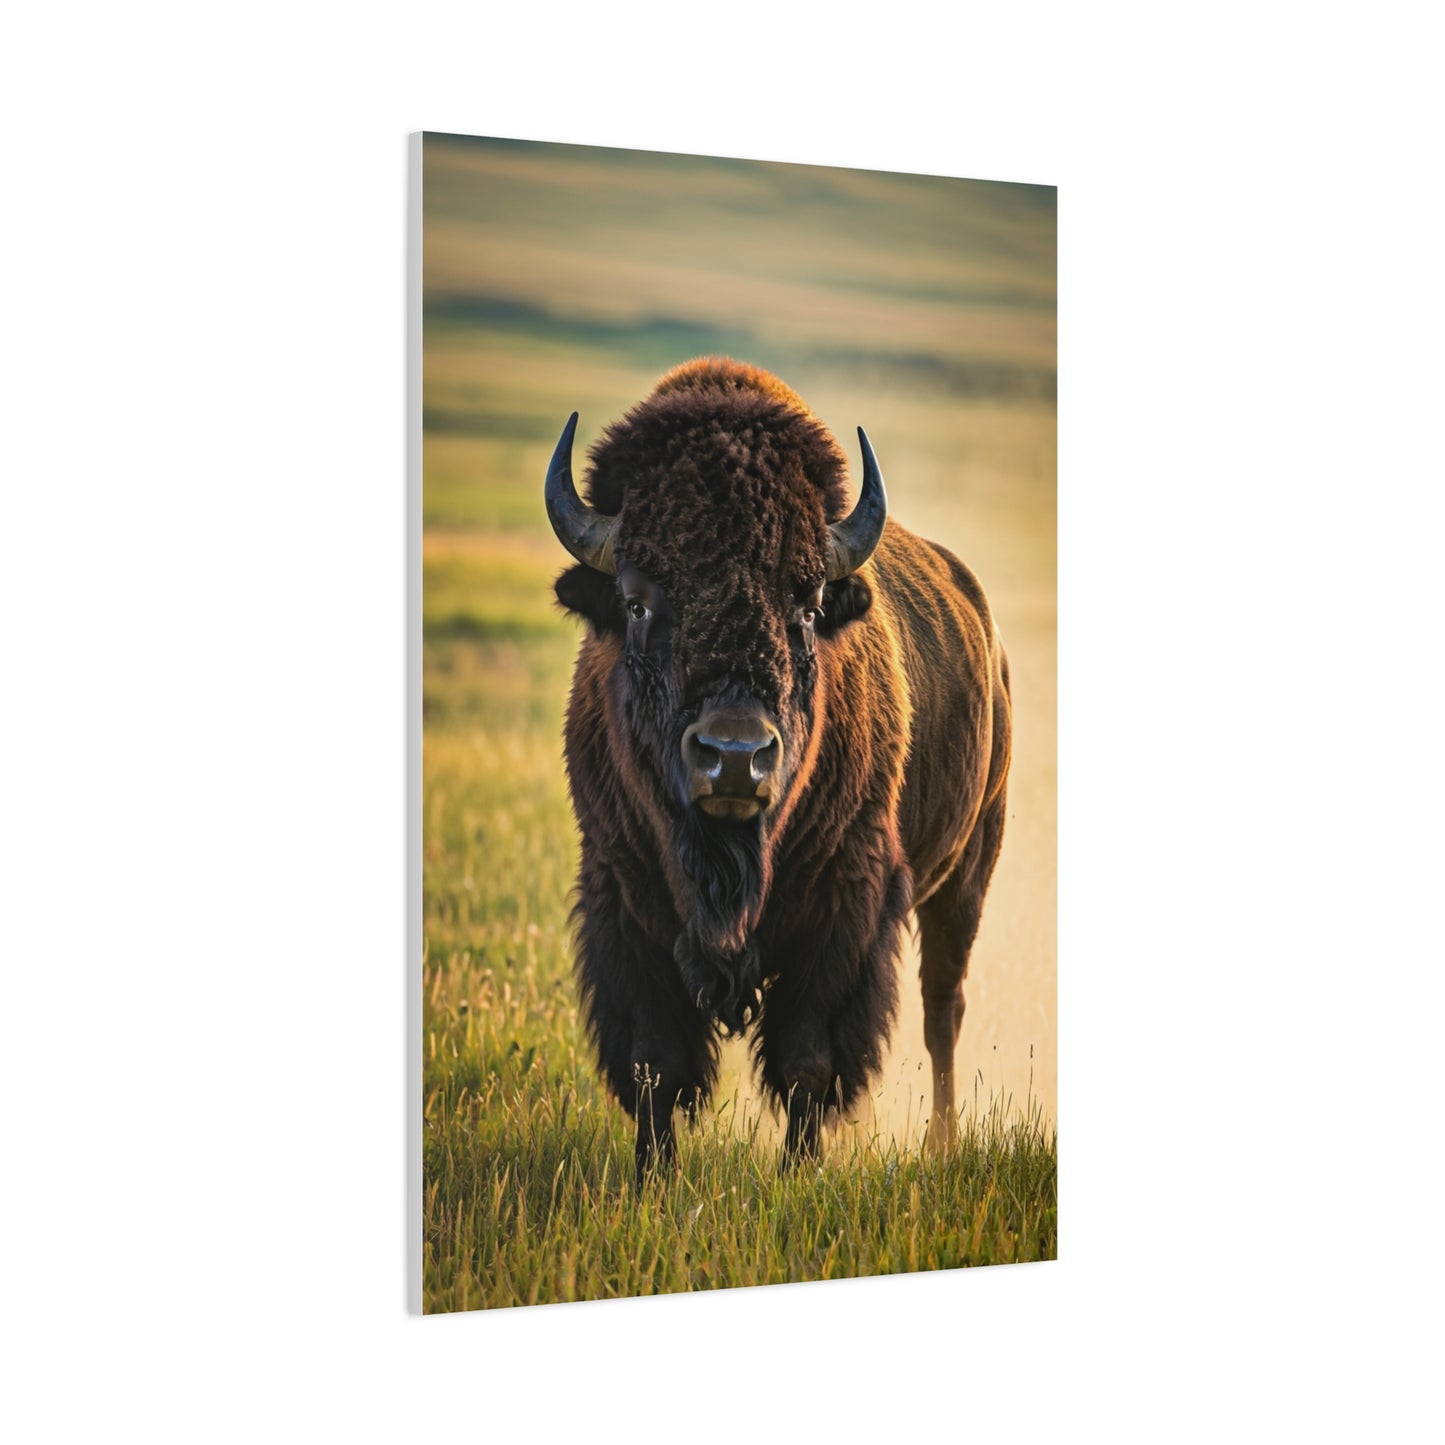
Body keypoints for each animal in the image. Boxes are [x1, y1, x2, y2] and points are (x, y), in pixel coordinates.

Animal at [546, 358, 1011, 1180]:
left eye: (808, 600)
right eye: (635, 601)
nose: (735, 758)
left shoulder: (845, 907)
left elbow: (807, 1060)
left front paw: (800, 1174)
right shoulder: (621, 895)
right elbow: (654, 1061)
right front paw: (652, 1178)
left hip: (967, 872)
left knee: (942, 1009)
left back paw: (941, 1143)